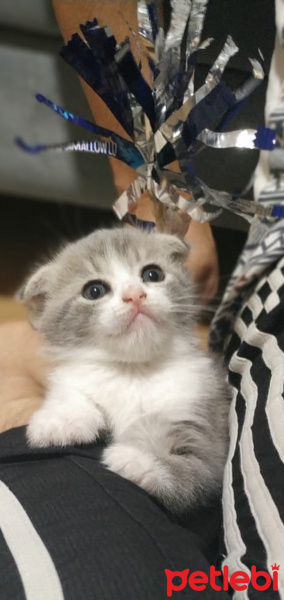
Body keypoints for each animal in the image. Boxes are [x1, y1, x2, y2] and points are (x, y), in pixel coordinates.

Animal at [18, 227, 231, 512]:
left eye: (153, 274)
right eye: (94, 290)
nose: (135, 294)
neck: (134, 371)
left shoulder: (204, 423)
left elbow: (196, 472)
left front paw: (136, 461)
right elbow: (73, 392)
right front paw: (60, 422)